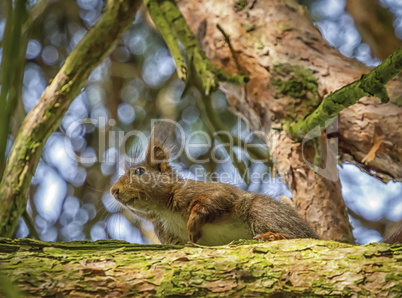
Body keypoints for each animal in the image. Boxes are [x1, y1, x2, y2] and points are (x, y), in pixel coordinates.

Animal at [110, 122, 318, 246]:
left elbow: (214, 200)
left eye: (139, 171)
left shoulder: (203, 191)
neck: (163, 211)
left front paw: (193, 222)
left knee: (296, 235)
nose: (113, 191)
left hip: (262, 210)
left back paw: (273, 236)